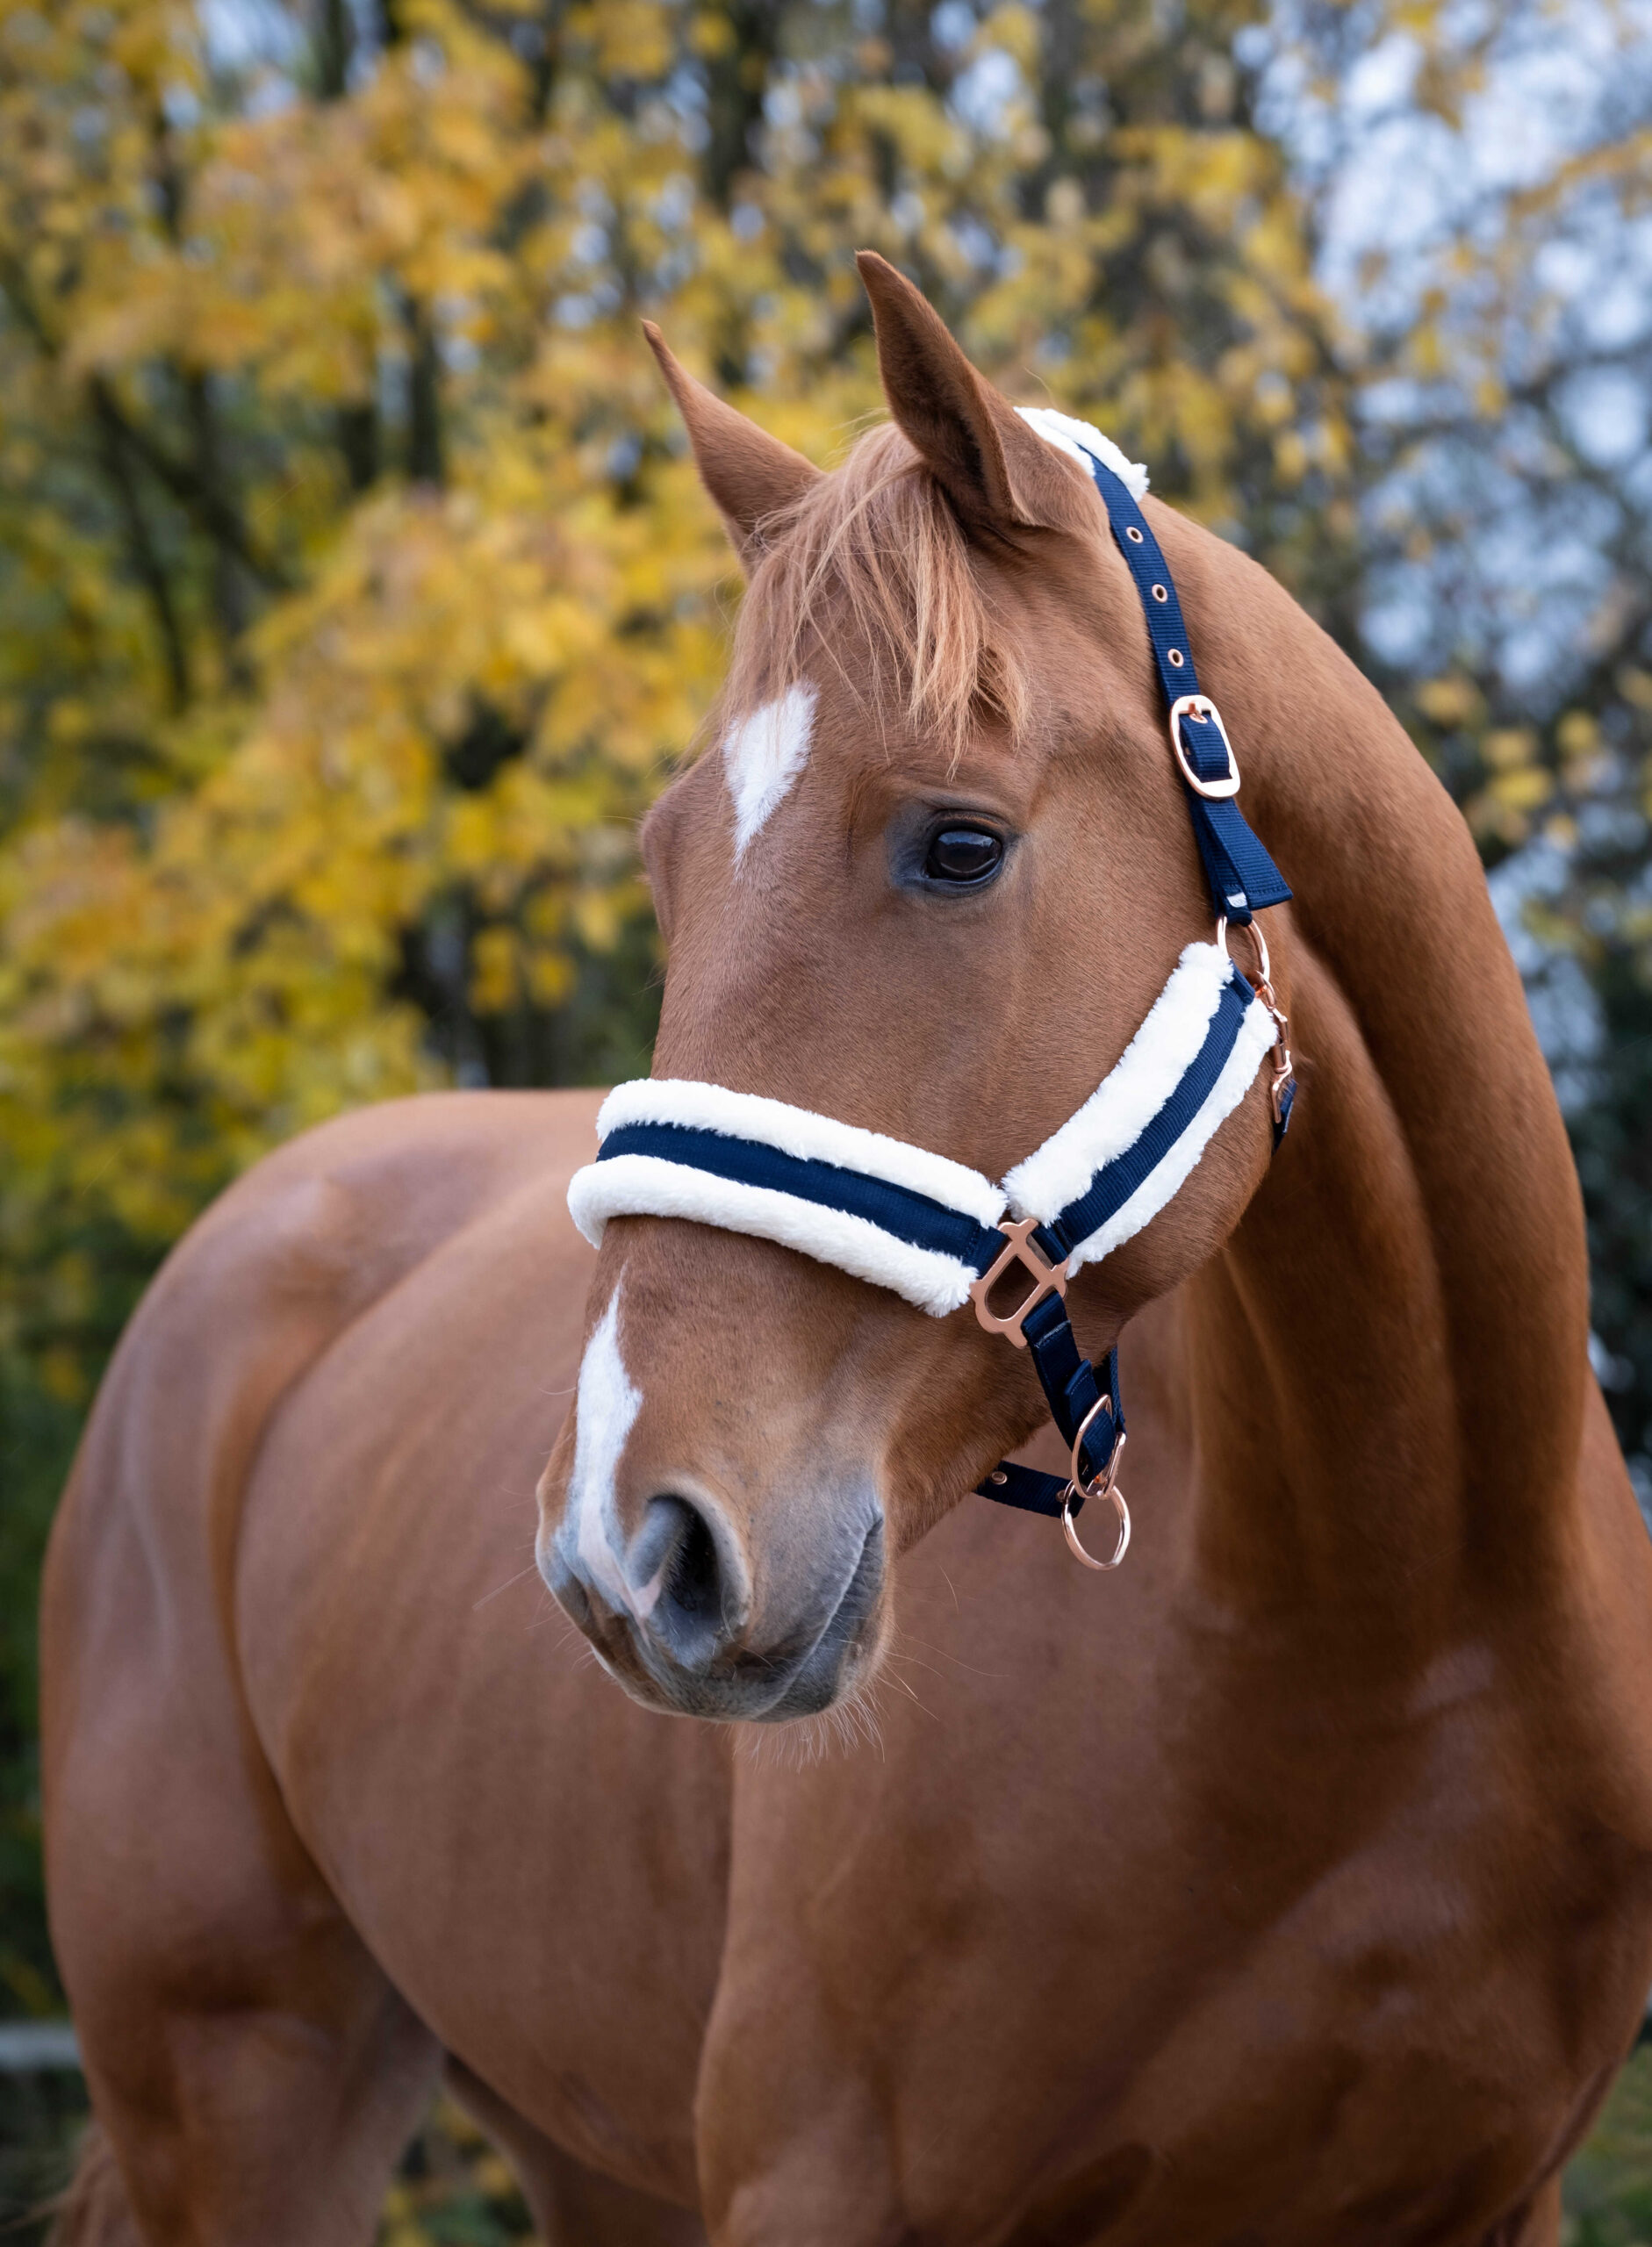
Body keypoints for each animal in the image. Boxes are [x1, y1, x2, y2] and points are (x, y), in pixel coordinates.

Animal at [40, 251, 1652, 2247]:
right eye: (664, 865)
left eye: (957, 844)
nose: (630, 1549)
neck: (1397, 1613)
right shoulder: (823, 2179)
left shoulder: (1490, 2193)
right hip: (238, 2092)